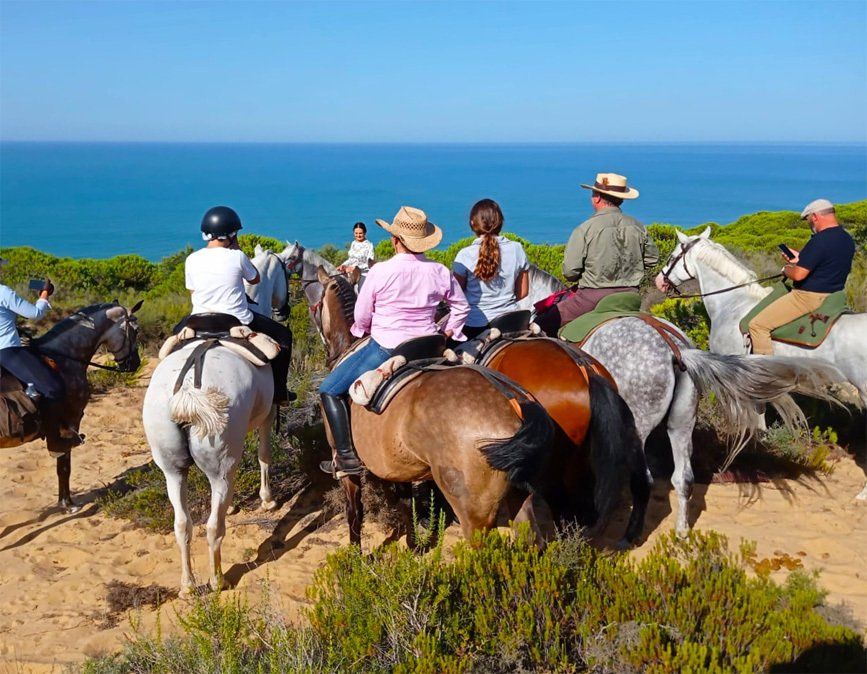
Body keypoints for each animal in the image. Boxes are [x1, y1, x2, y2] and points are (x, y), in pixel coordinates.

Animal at [0, 301, 142, 511]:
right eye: (136, 330)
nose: (135, 364)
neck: (64, 359)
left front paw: (64, 502)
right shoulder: (70, 423)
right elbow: (64, 466)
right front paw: (68, 504)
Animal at [143, 338, 278, 595]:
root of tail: (188, 392)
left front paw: (235, 505)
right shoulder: (269, 413)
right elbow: (264, 454)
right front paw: (267, 500)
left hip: (173, 471)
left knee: (182, 524)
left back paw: (187, 586)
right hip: (221, 470)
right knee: (214, 527)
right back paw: (218, 581)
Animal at [316, 269, 556, 546]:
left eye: (318, 303)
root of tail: (515, 407)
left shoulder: (346, 469)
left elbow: (354, 513)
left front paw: (355, 553)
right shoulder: (397, 466)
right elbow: (405, 504)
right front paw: (413, 544)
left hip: (475, 513)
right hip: (522, 498)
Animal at [525, 264, 846, 535]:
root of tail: (675, 349)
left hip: (637, 426)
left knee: (644, 480)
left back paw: (629, 534)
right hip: (682, 422)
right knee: (684, 478)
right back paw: (681, 531)